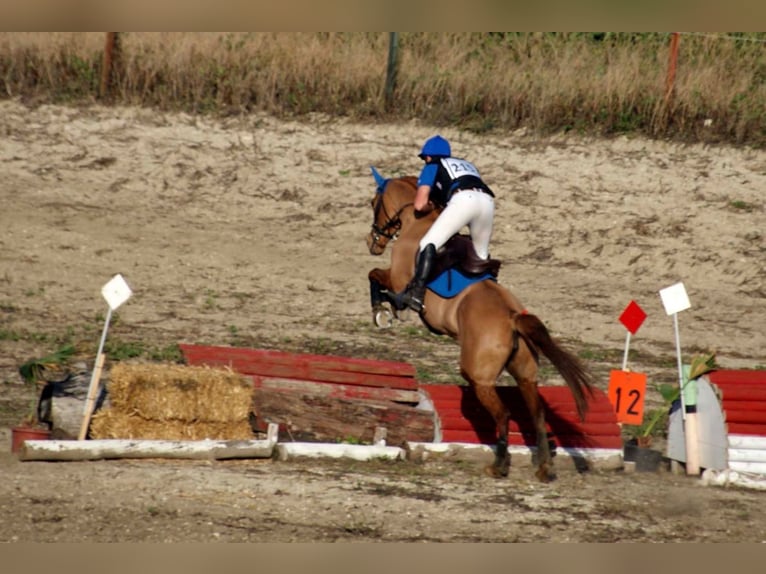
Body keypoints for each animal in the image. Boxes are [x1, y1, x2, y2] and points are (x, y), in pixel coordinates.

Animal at [368, 169, 600, 484]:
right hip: (525, 373)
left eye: (373, 204)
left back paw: (499, 465)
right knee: (537, 414)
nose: (372, 243)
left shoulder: (397, 279)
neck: (418, 221)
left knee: (503, 415)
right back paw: (544, 468)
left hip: (479, 376)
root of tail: (513, 317)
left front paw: (382, 311)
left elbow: (375, 277)